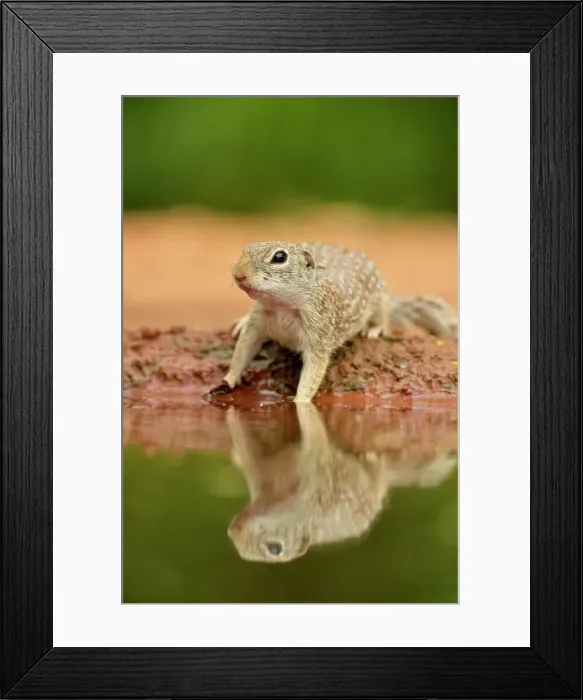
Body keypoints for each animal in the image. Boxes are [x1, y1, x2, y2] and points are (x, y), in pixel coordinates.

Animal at [223, 241, 458, 403]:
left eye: (279, 257)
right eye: (246, 249)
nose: (238, 274)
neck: (282, 307)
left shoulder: (319, 334)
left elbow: (314, 371)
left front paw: (300, 402)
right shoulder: (258, 321)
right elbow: (243, 350)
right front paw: (230, 378)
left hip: (379, 297)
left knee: (383, 315)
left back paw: (375, 328)